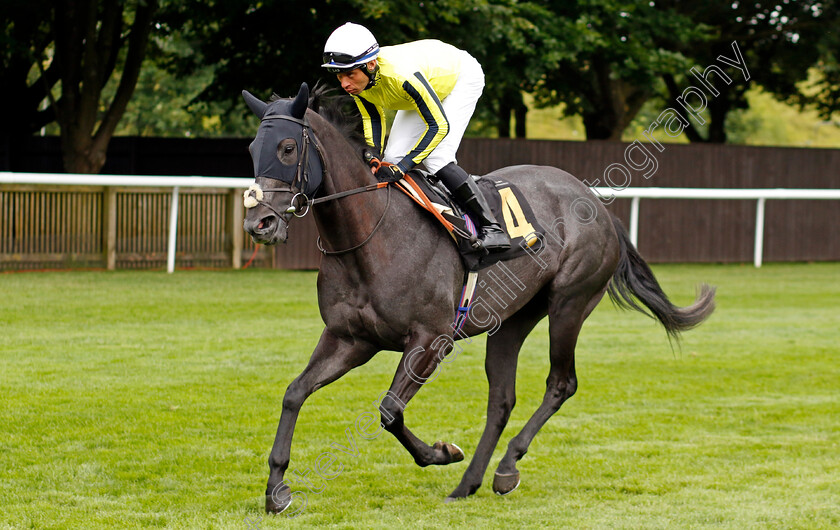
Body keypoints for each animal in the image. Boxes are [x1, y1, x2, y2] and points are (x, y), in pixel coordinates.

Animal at [241, 82, 716, 512]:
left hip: (570, 303)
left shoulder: (430, 339)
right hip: (511, 321)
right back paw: (469, 483)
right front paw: (277, 489)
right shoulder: (350, 338)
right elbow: (294, 392)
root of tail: (595, 203)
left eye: (286, 147)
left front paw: (441, 452)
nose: (259, 223)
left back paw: (505, 469)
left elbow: (390, 410)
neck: (371, 235)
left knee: (561, 383)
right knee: (501, 400)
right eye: (251, 148)